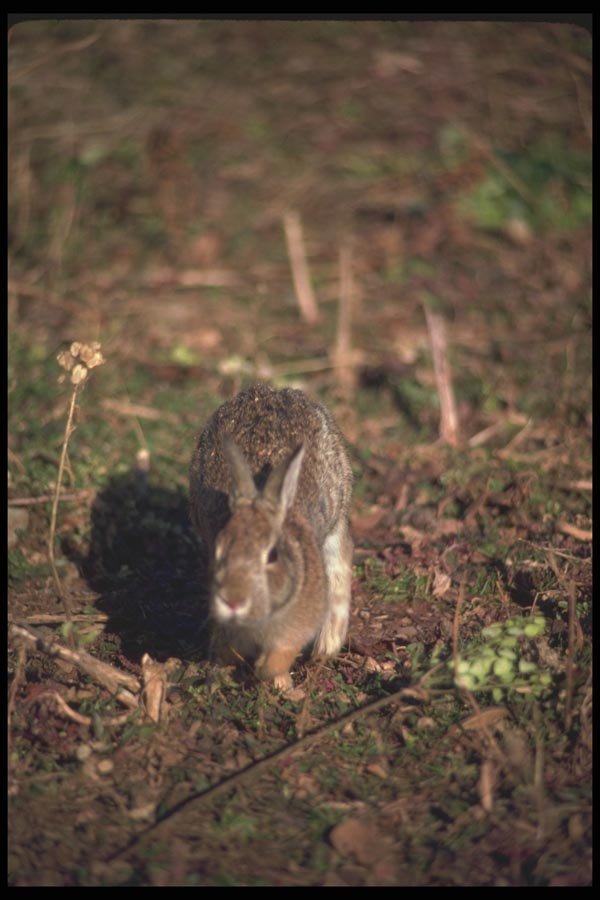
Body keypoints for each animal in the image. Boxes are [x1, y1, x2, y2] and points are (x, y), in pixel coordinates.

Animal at [189, 382, 353, 690]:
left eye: (273, 555)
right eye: (219, 550)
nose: (233, 600)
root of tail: (275, 391)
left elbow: (280, 655)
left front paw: (276, 681)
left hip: (336, 526)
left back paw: (325, 648)